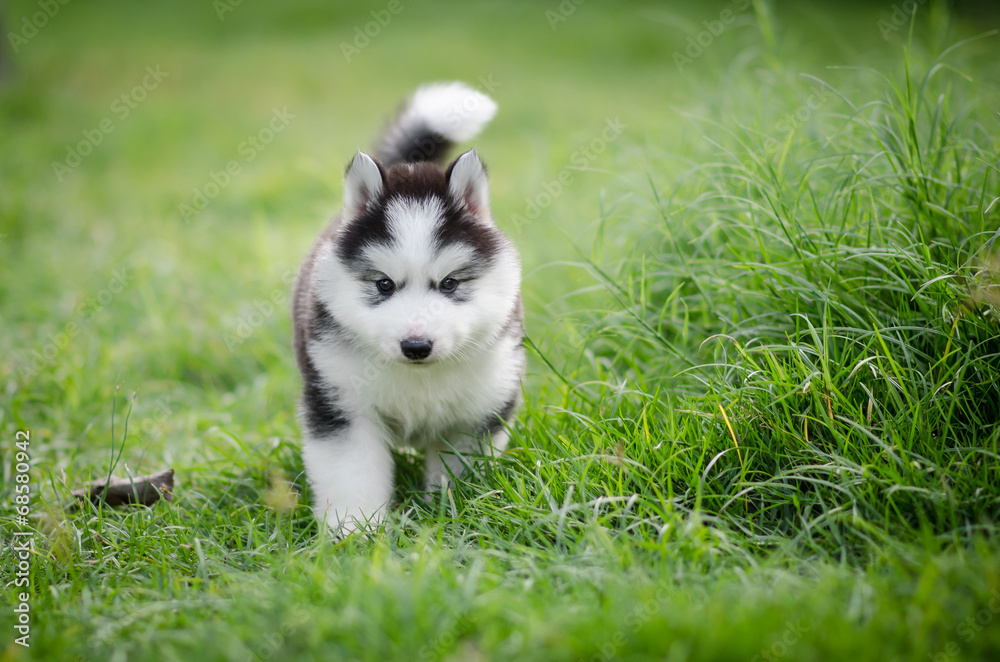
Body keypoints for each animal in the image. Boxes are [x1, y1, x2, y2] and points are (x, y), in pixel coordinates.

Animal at [292, 83, 524, 536]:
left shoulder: (478, 410)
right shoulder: (342, 407)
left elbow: (459, 471)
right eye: (383, 284)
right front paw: (355, 531)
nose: (416, 346)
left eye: (449, 283)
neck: (419, 378)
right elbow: (353, 474)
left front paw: (455, 513)